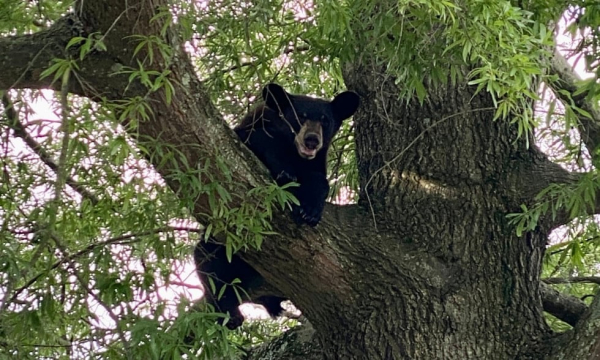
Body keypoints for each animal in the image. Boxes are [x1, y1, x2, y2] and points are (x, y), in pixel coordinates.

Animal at [195, 83, 358, 330]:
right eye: (300, 116)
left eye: (325, 120)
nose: (312, 140)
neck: (295, 153)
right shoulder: (250, 131)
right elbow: (258, 141)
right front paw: (285, 173)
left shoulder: (317, 163)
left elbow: (319, 180)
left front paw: (310, 210)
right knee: (208, 260)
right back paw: (231, 313)